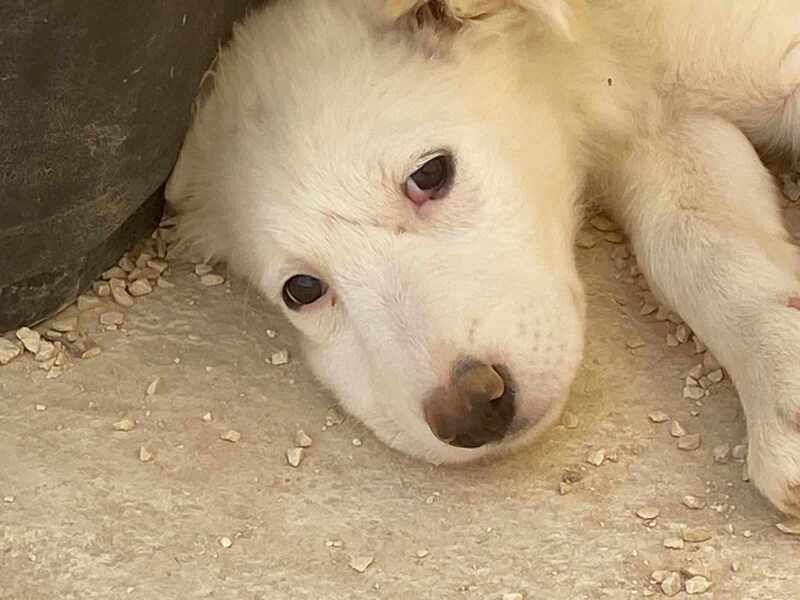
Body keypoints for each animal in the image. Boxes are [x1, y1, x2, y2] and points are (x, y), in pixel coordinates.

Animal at [166, 0, 800, 517]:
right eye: (302, 289)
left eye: (429, 174)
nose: (470, 413)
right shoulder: (664, 126)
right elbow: (697, 244)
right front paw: (783, 389)